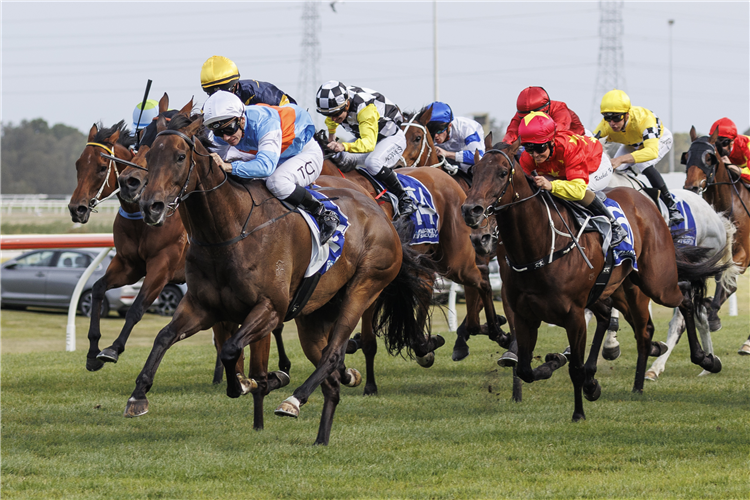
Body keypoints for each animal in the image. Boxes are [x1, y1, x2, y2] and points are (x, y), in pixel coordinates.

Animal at [129, 114, 434, 446]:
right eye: (149, 157)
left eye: (180, 157)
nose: (151, 206)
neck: (228, 231)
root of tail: (380, 212)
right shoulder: (201, 306)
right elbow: (164, 337)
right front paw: (138, 396)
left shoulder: (270, 308)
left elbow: (230, 350)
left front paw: (252, 383)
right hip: (313, 316)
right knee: (331, 379)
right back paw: (323, 433)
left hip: (365, 286)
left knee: (333, 354)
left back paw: (295, 399)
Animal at [464, 139, 728, 420]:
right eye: (474, 172)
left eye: (503, 173)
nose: (471, 211)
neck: (539, 247)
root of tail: (647, 202)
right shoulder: (524, 314)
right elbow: (525, 370)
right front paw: (562, 369)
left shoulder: (574, 315)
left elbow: (575, 368)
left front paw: (578, 413)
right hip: (619, 288)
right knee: (632, 324)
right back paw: (635, 383)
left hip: (656, 282)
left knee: (684, 298)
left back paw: (705, 359)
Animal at [688, 128, 750, 356]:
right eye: (688, 155)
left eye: (708, 158)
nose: (691, 186)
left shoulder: (743, 255)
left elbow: (726, 280)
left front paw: (713, 314)